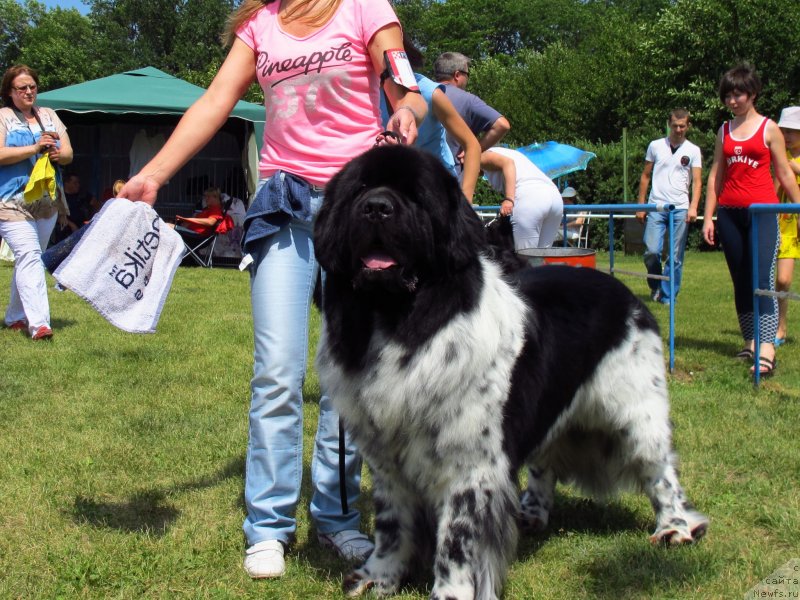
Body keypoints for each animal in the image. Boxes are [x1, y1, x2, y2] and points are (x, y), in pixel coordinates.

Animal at [312, 145, 708, 600]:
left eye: (415, 196)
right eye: (359, 188)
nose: (377, 207)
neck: (397, 322)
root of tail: (625, 294)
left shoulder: (470, 463)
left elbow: (457, 539)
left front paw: (450, 592)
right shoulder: (386, 457)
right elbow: (391, 524)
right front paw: (379, 576)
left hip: (636, 412)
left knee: (660, 470)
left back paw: (675, 527)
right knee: (545, 461)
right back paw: (531, 513)